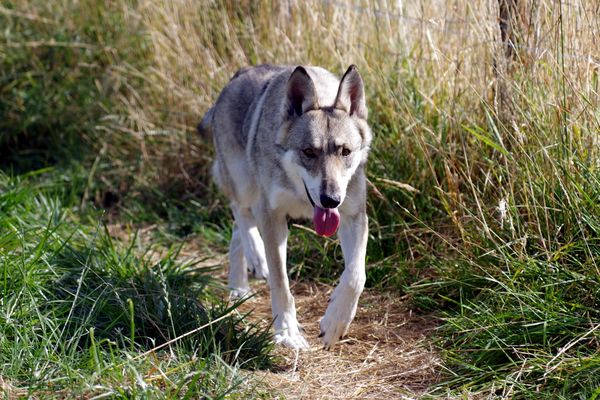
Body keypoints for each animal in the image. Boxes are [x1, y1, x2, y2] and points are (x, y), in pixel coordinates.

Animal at [199, 64, 372, 348]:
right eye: (308, 152)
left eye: (345, 152)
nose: (331, 199)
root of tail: (242, 71)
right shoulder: (272, 215)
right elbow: (280, 281)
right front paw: (287, 332)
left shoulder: (353, 215)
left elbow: (356, 276)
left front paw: (334, 324)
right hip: (245, 185)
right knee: (240, 213)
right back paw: (256, 259)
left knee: (237, 233)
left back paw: (238, 287)